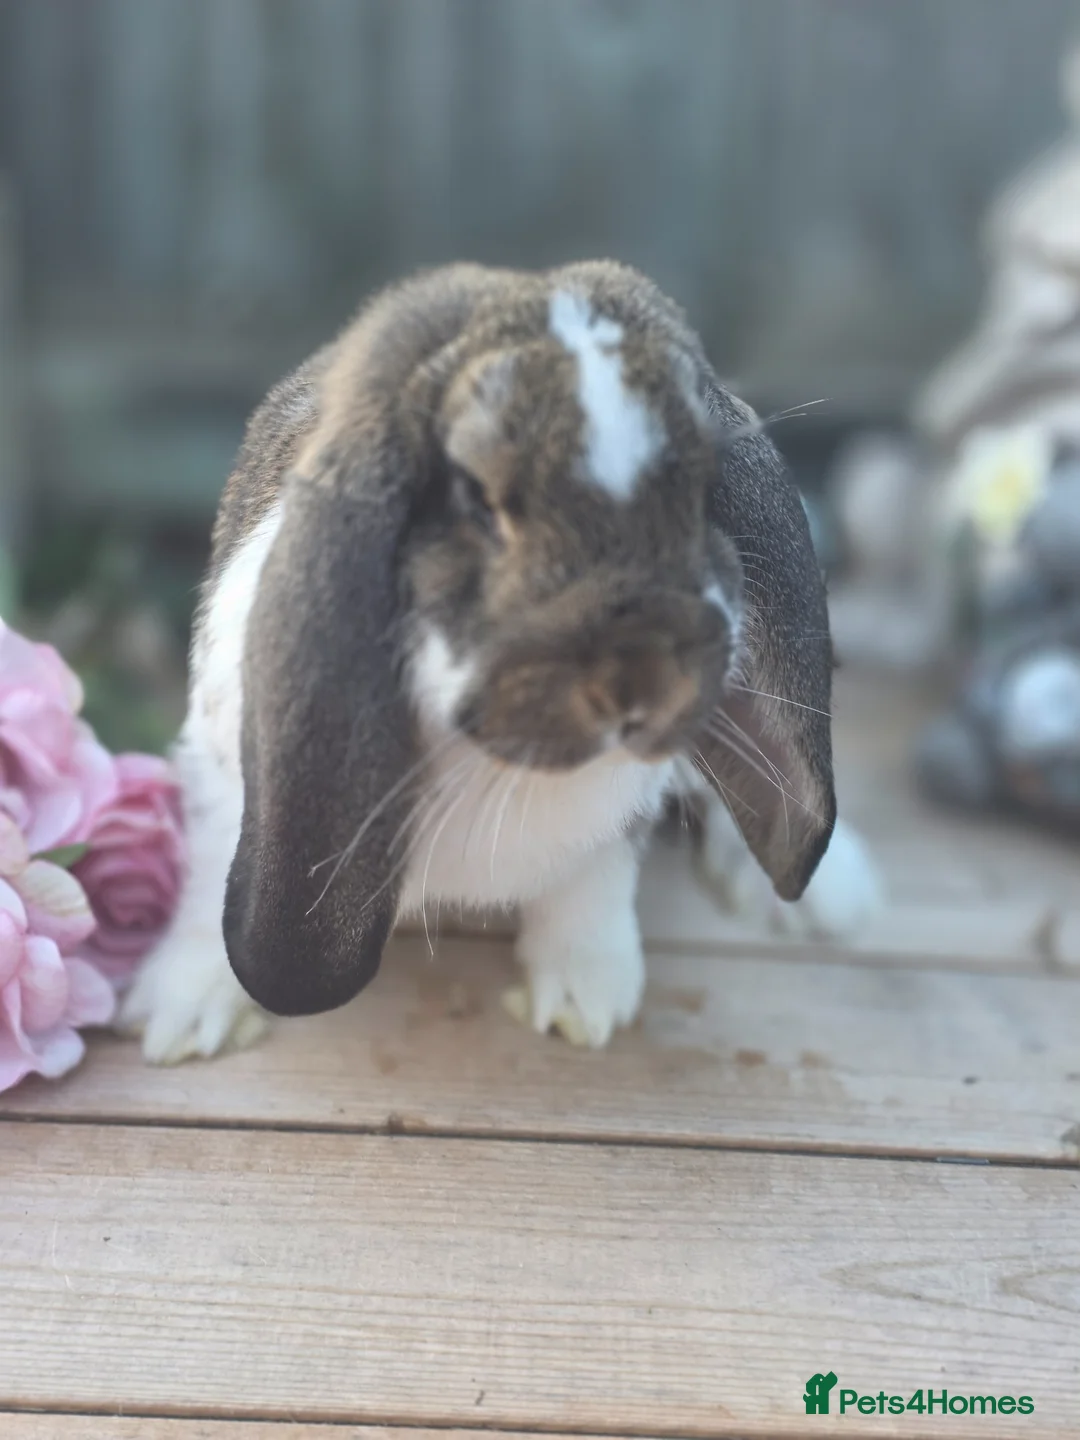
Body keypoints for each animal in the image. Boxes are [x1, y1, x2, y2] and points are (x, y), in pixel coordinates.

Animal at [121, 260, 879, 1063]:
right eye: (478, 501)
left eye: (705, 493)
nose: (642, 681)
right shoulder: (221, 770)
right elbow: (208, 877)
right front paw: (184, 1013)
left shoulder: (616, 827)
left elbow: (595, 882)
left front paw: (586, 998)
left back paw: (829, 898)